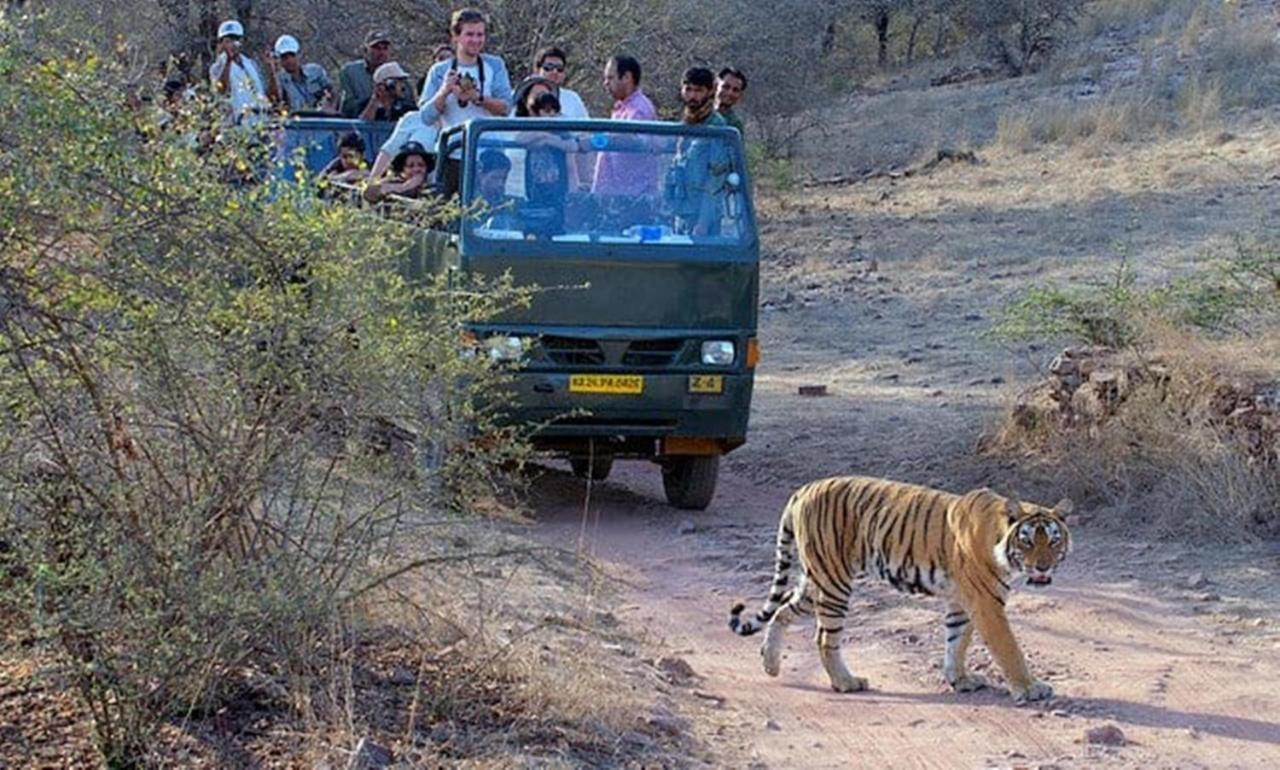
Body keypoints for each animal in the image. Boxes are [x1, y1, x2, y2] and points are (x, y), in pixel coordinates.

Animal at [732, 473, 1070, 700]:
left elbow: (957, 642)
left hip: (814, 581)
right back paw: (846, 682)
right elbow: (1008, 648)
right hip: (833, 580)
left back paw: (770, 664)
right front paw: (1030, 688)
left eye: (1053, 541)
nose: (1043, 567)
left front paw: (959, 679)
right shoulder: (986, 602)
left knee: (782, 611)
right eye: (1027, 541)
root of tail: (804, 489)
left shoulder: (962, 600)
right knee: (824, 638)